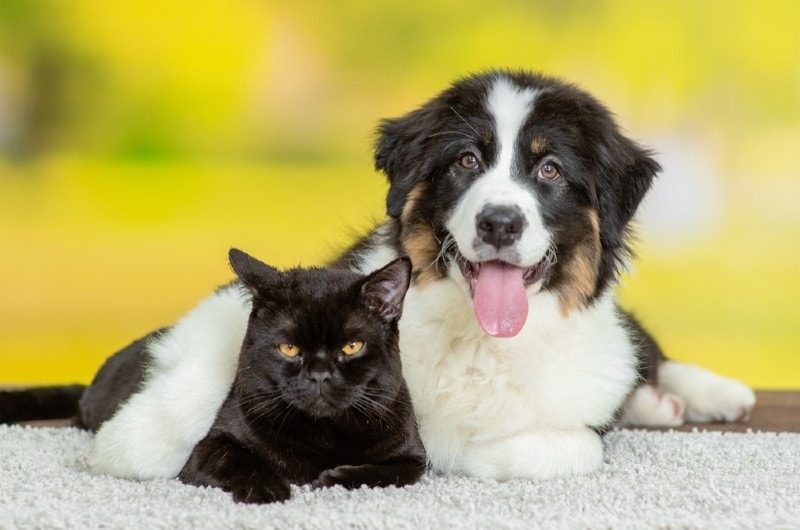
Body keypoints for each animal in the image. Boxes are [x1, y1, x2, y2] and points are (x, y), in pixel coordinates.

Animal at [1, 69, 756, 478]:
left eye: (548, 169)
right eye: (465, 162)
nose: (499, 224)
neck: (477, 341)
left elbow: (568, 440)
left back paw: (708, 392)